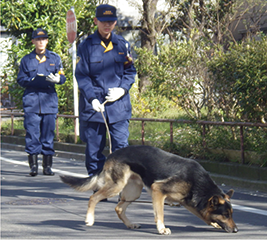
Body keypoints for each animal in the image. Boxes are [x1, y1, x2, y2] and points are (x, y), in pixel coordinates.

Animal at [60, 144, 239, 234]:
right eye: (225, 215)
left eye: (231, 215)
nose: (237, 230)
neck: (198, 183)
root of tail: (112, 154)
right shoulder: (158, 191)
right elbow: (159, 214)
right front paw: (161, 229)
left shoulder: (188, 203)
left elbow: (203, 216)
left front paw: (214, 224)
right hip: (117, 186)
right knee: (94, 197)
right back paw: (89, 219)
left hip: (133, 192)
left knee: (119, 207)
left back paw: (130, 224)